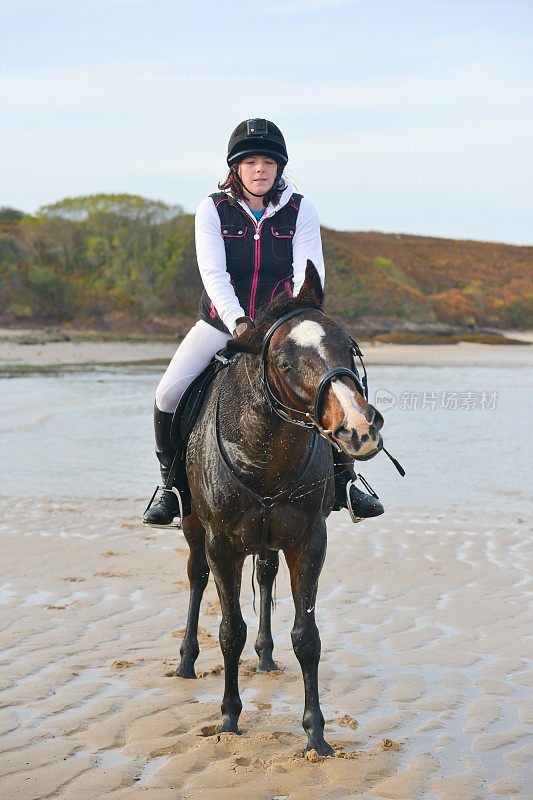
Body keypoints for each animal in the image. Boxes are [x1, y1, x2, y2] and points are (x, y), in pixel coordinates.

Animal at [175, 262, 382, 756]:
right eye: (285, 362)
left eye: (348, 347)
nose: (359, 429)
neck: (265, 455)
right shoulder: (223, 545)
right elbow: (230, 631)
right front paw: (229, 718)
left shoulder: (308, 541)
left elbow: (307, 637)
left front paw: (316, 734)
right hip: (194, 529)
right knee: (196, 577)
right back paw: (186, 662)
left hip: (270, 538)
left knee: (266, 576)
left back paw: (266, 656)